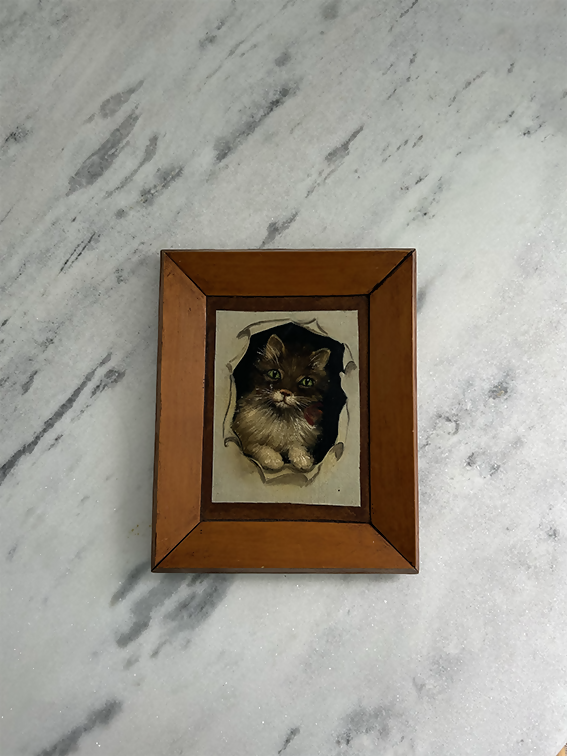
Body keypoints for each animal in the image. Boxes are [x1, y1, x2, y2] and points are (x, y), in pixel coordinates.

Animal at [231, 333, 331, 471]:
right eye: (274, 374)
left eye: (306, 382)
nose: (285, 393)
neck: (281, 418)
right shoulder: (243, 438)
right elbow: (259, 447)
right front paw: (273, 460)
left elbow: (296, 445)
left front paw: (303, 459)